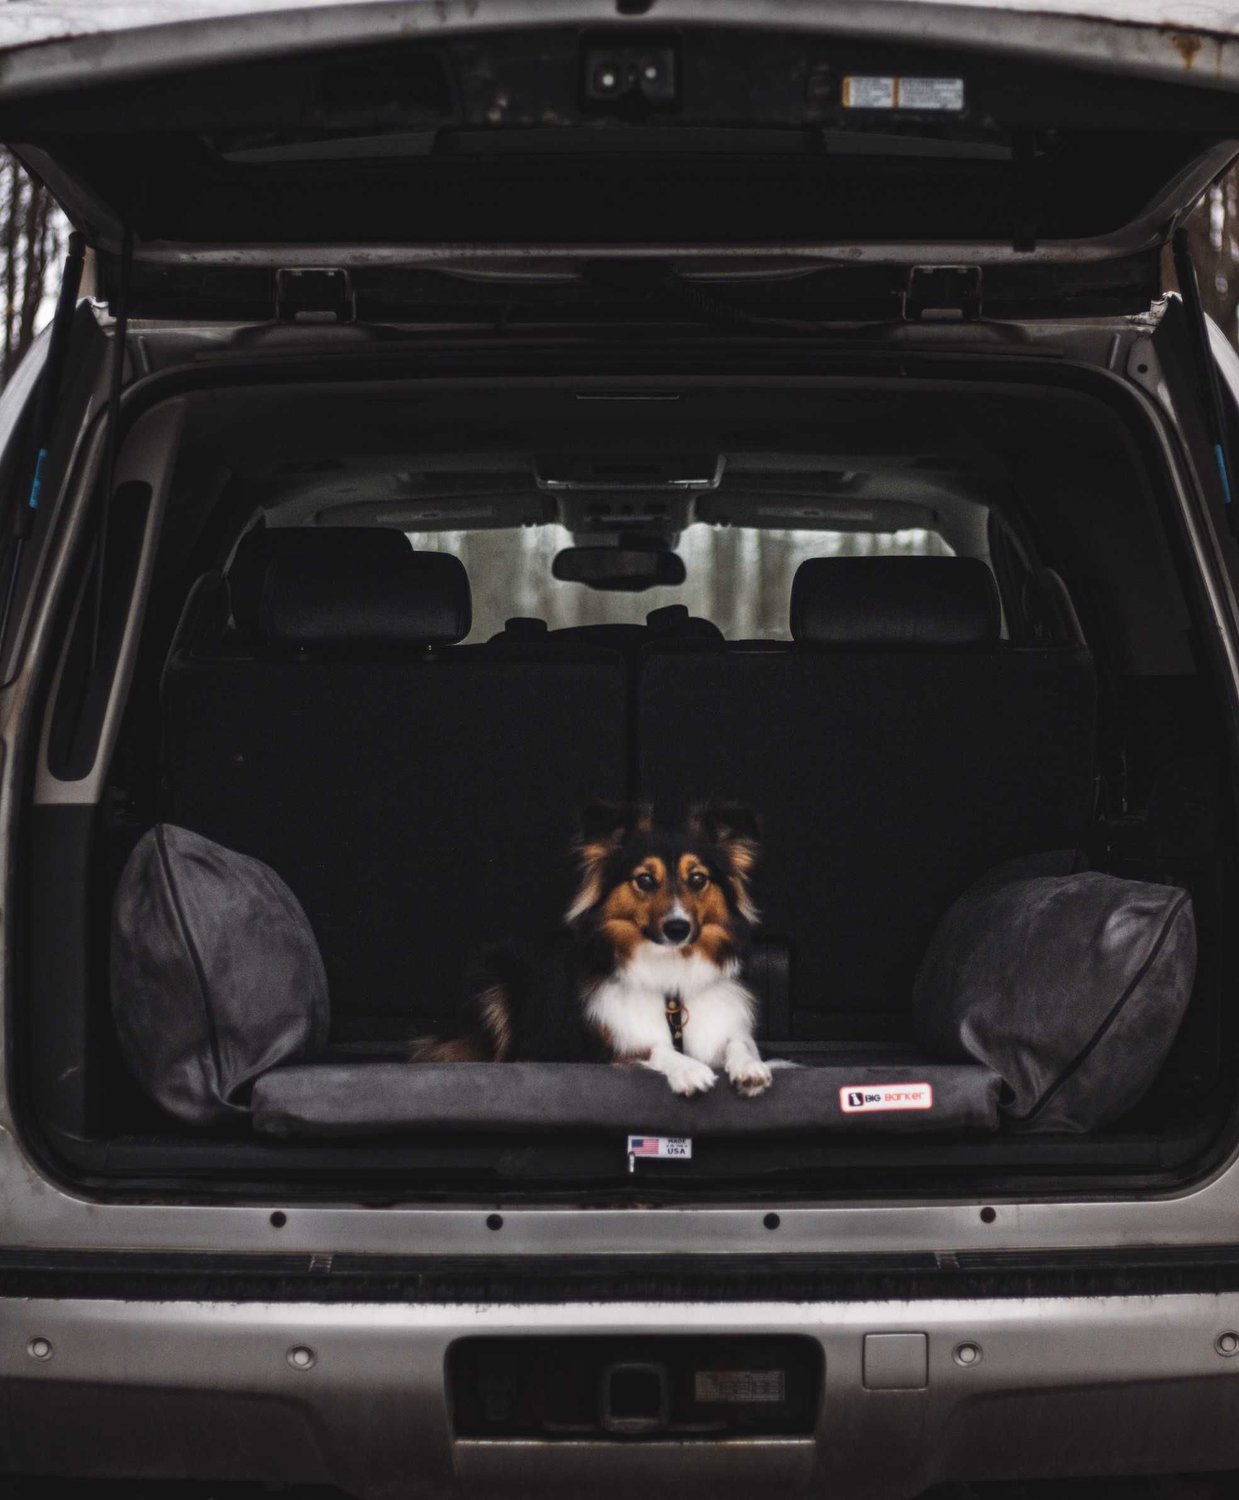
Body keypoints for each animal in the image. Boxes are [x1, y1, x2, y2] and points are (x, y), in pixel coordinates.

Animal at [411, 804, 768, 1098]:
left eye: (697, 879)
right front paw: (689, 1069)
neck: (671, 978)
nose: (677, 928)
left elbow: (741, 1043)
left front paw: (751, 1068)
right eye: (645, 880)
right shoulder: (605, 1046)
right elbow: (651, 1048)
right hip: (493, 980)